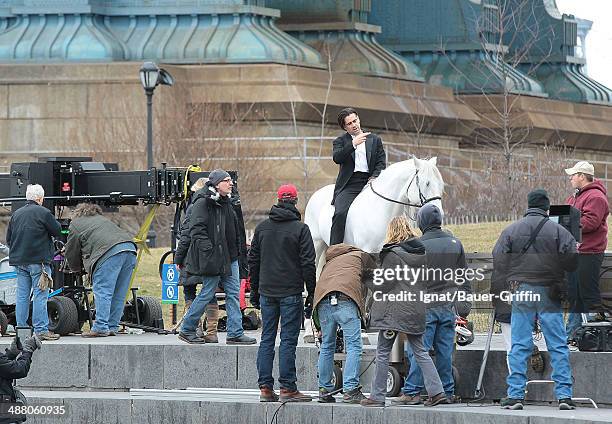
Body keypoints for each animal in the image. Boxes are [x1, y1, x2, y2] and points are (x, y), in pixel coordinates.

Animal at [306, 157, 444, 272]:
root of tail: (316, 193)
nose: (438, 212)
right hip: (316, 242)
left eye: (440, 185)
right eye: (427, 183)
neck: (381, 211)